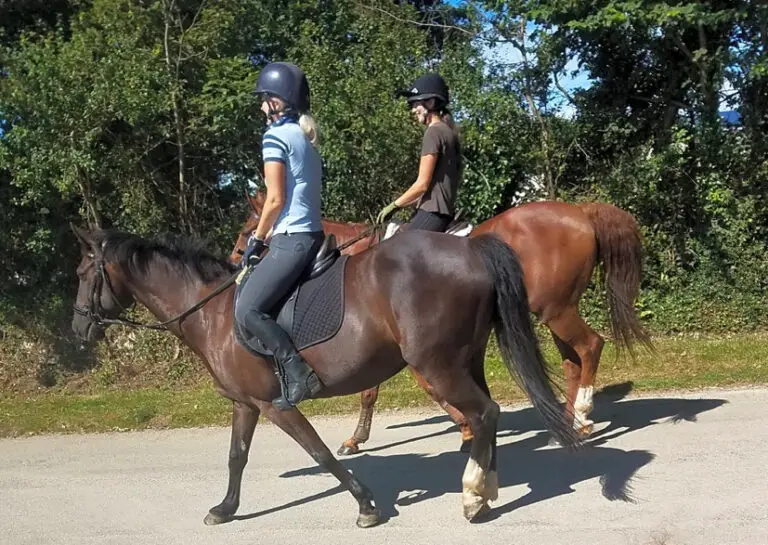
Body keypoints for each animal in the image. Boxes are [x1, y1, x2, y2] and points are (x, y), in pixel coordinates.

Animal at [70, 224, 580, 527]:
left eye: (81, 272)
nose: (77, 329)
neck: (213, 312)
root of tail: (470, 246)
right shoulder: (245, 404)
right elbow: (236, 457)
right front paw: (226, 508)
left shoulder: (276, 406)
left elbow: (320, 454)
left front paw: (367, 506)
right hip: (465, 360)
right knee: (483, 418)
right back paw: (483, 487)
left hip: (439, 366)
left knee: (485, 413)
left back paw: (474, 495)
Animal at [230, 192, 652, 455]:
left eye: (248, 228)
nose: (237, 259)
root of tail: (580, 212)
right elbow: (399, 389)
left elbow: (402, 389)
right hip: (556, 310)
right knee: (572, 360)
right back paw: (573, 421)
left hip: (557, 309)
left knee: (590, 347)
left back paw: (581, 413)